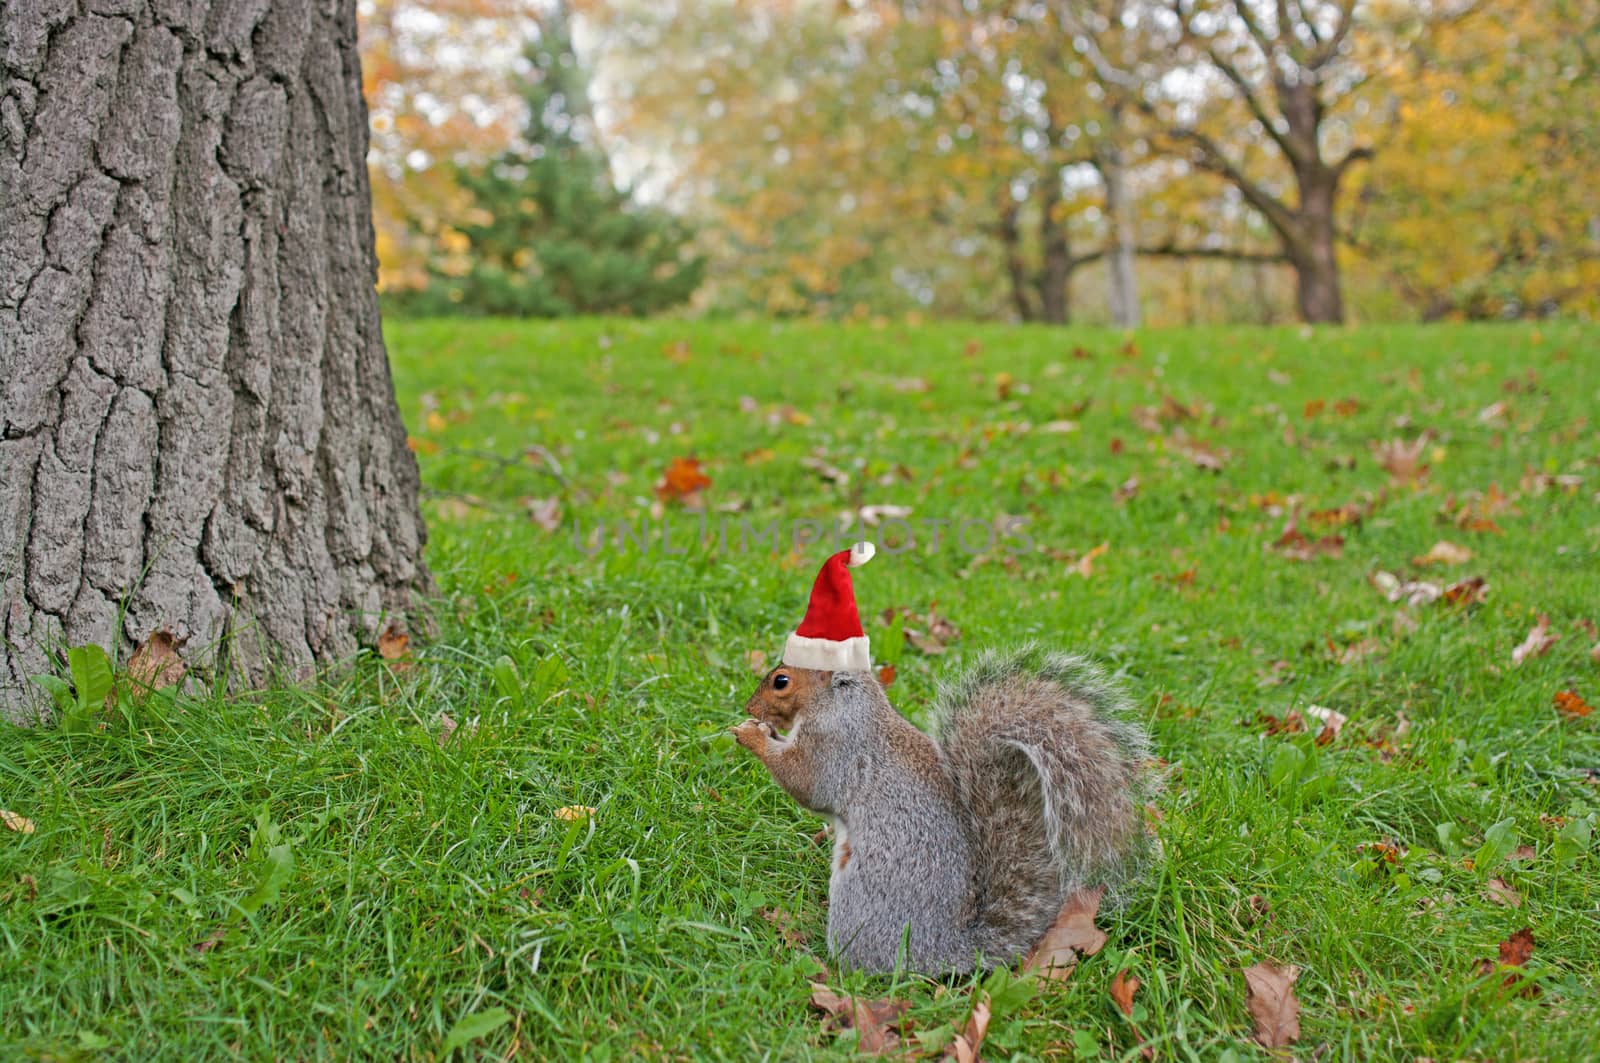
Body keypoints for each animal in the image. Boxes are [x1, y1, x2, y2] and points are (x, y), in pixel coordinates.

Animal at [732, 544, 1158, 973]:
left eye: (781, 681)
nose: (749, 706)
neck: (842, 699)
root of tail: (945, 950)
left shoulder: (835, 744)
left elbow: (807, 783)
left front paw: (752, 734)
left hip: (860, 899)